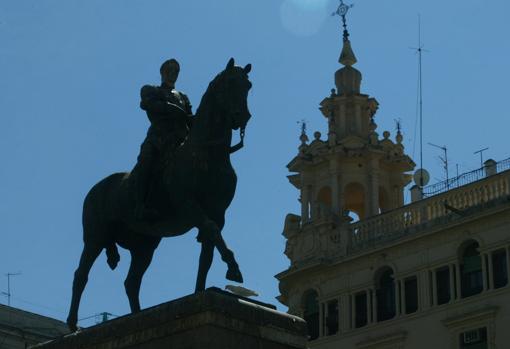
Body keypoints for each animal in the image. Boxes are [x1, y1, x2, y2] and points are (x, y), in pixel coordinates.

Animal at [65, 58, 253, 330]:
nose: (243, 116)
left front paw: (200, 290)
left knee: (131, 282)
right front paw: (234, 268)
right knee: (81, 275)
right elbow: (211, 232)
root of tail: (97, 189)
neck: (206, 155)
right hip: (95, 238)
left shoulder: (219, 214)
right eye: (230, 83)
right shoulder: (190, 206)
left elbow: (207, 252)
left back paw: (137, 316)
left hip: (144, 246)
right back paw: (72, 325)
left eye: (248, 85)